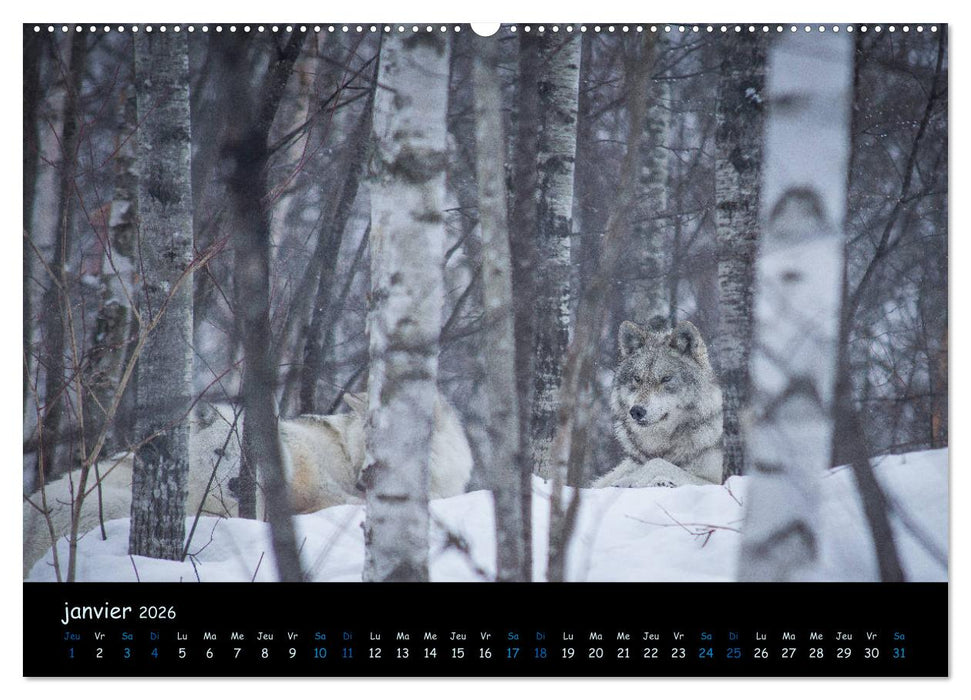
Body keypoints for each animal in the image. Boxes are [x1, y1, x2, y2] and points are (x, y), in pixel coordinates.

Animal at [592, 318, 723, 489]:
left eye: (666, 379)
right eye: (637, 378)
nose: (636, 411)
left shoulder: (719, 479)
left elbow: (656, 463)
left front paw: (632, 481)